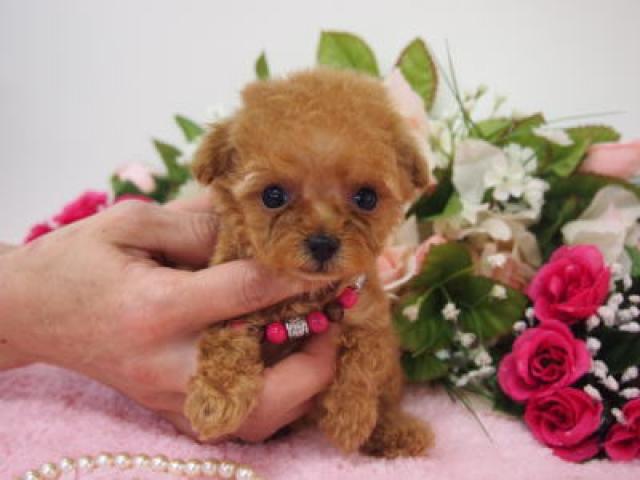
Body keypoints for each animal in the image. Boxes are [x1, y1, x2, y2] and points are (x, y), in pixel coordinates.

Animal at [185, 68, 433, 457]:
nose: (322, 243)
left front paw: (350, 417)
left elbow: (366, 358)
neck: (303, 298)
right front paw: (216, 399)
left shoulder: (370, 315)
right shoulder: (226, 307)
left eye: (367, 198)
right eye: (273, 195)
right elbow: (224, 343)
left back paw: (397, 432)